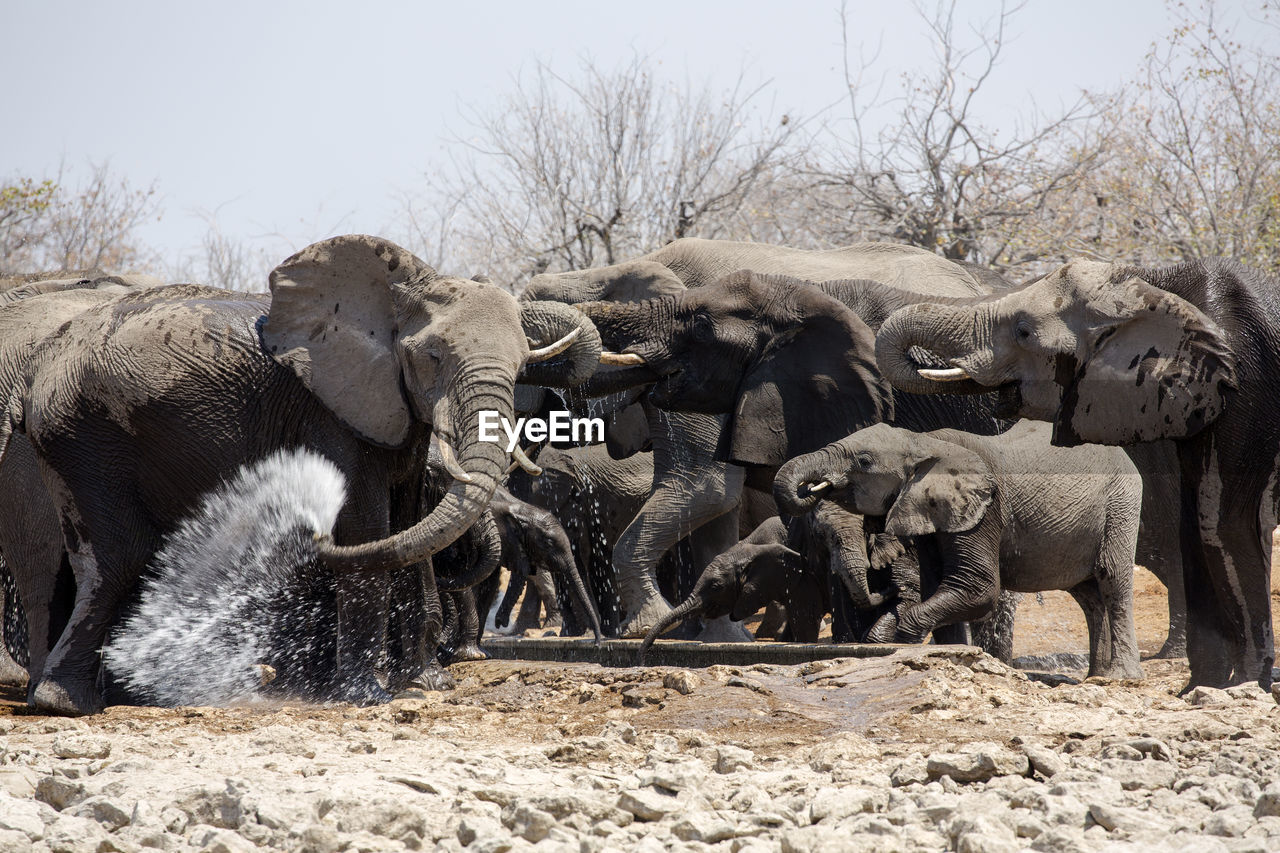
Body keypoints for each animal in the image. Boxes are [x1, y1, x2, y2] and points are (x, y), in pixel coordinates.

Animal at [0, 233, 599, 712]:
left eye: (523, 366)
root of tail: (41, 367)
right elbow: (366, 529)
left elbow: (407, 528)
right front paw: (367, 697)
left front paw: (424, 685)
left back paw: (132, 695)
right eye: (431, 357)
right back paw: (68, 704)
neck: (395, 294)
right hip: (85, 434)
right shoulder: (329, 412)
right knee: (119, 556)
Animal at [870, 256, 1269, 686]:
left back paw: (1126, 678)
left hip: (1122, 500)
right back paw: (1103, 674)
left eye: (1024, 331)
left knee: (1114, 574)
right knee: (1090, 589)